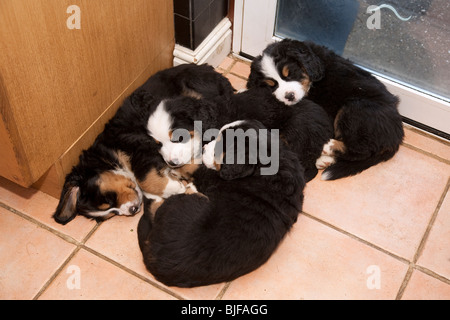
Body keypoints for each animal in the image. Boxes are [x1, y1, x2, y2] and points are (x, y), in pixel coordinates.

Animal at [137, 119, 306, 288]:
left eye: (219, 146)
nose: (203, 148)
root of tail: (153, 259)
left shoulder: (213, 179)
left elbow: (198, 168)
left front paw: (180, 163)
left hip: (181, 204)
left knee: (157, 206)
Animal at [248, 38, 406, 180]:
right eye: (272, 85)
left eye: (290, 73)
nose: (289, 96)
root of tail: (397, 136)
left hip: (353, 109)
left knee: (361, 150)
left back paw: (328, 147)